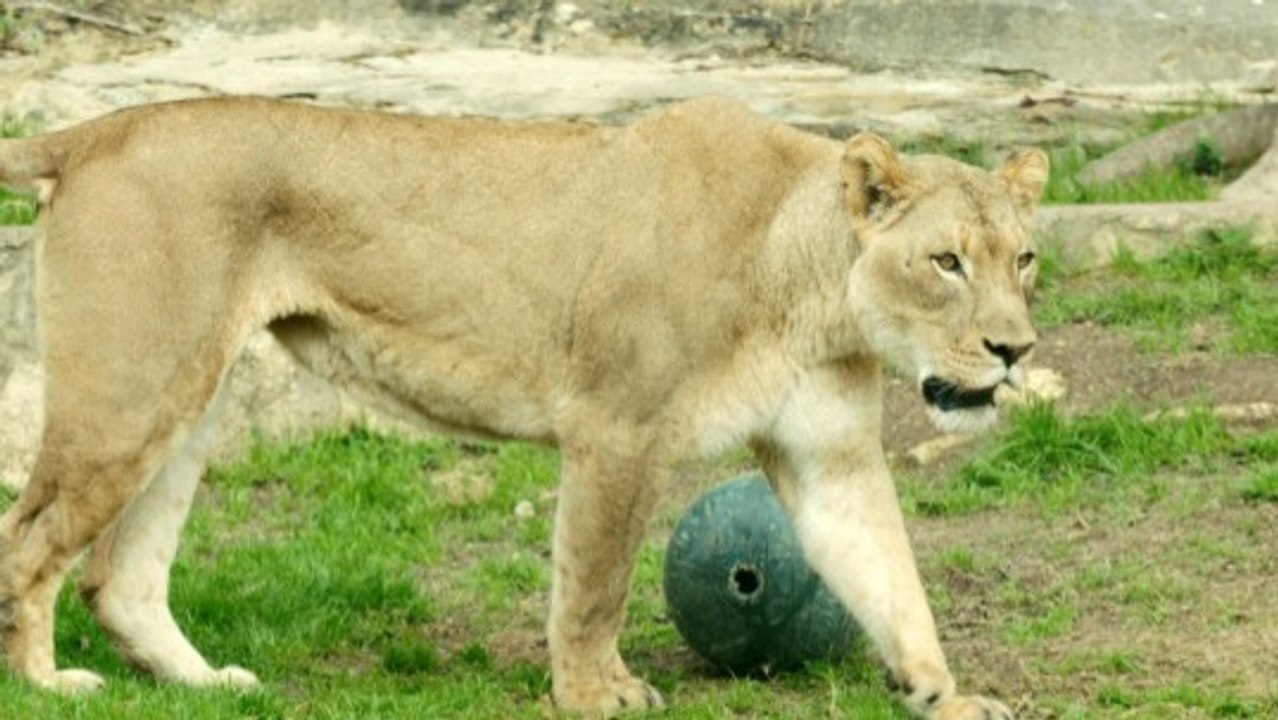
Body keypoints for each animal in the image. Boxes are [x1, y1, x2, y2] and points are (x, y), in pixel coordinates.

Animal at [0, 96, 1045, 719]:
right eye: (946, 261)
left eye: (1022, 258)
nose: (1015, 350)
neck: (809, 283)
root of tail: (91, 131)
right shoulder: (616, 428)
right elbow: (593, 586)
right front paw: (593, 694)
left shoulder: (831, 459)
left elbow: (892, 580)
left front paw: (949, 698)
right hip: (130, 392)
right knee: (32, 541)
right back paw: (48, 682)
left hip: (188, 395)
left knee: (120, 577)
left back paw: (204, 683)